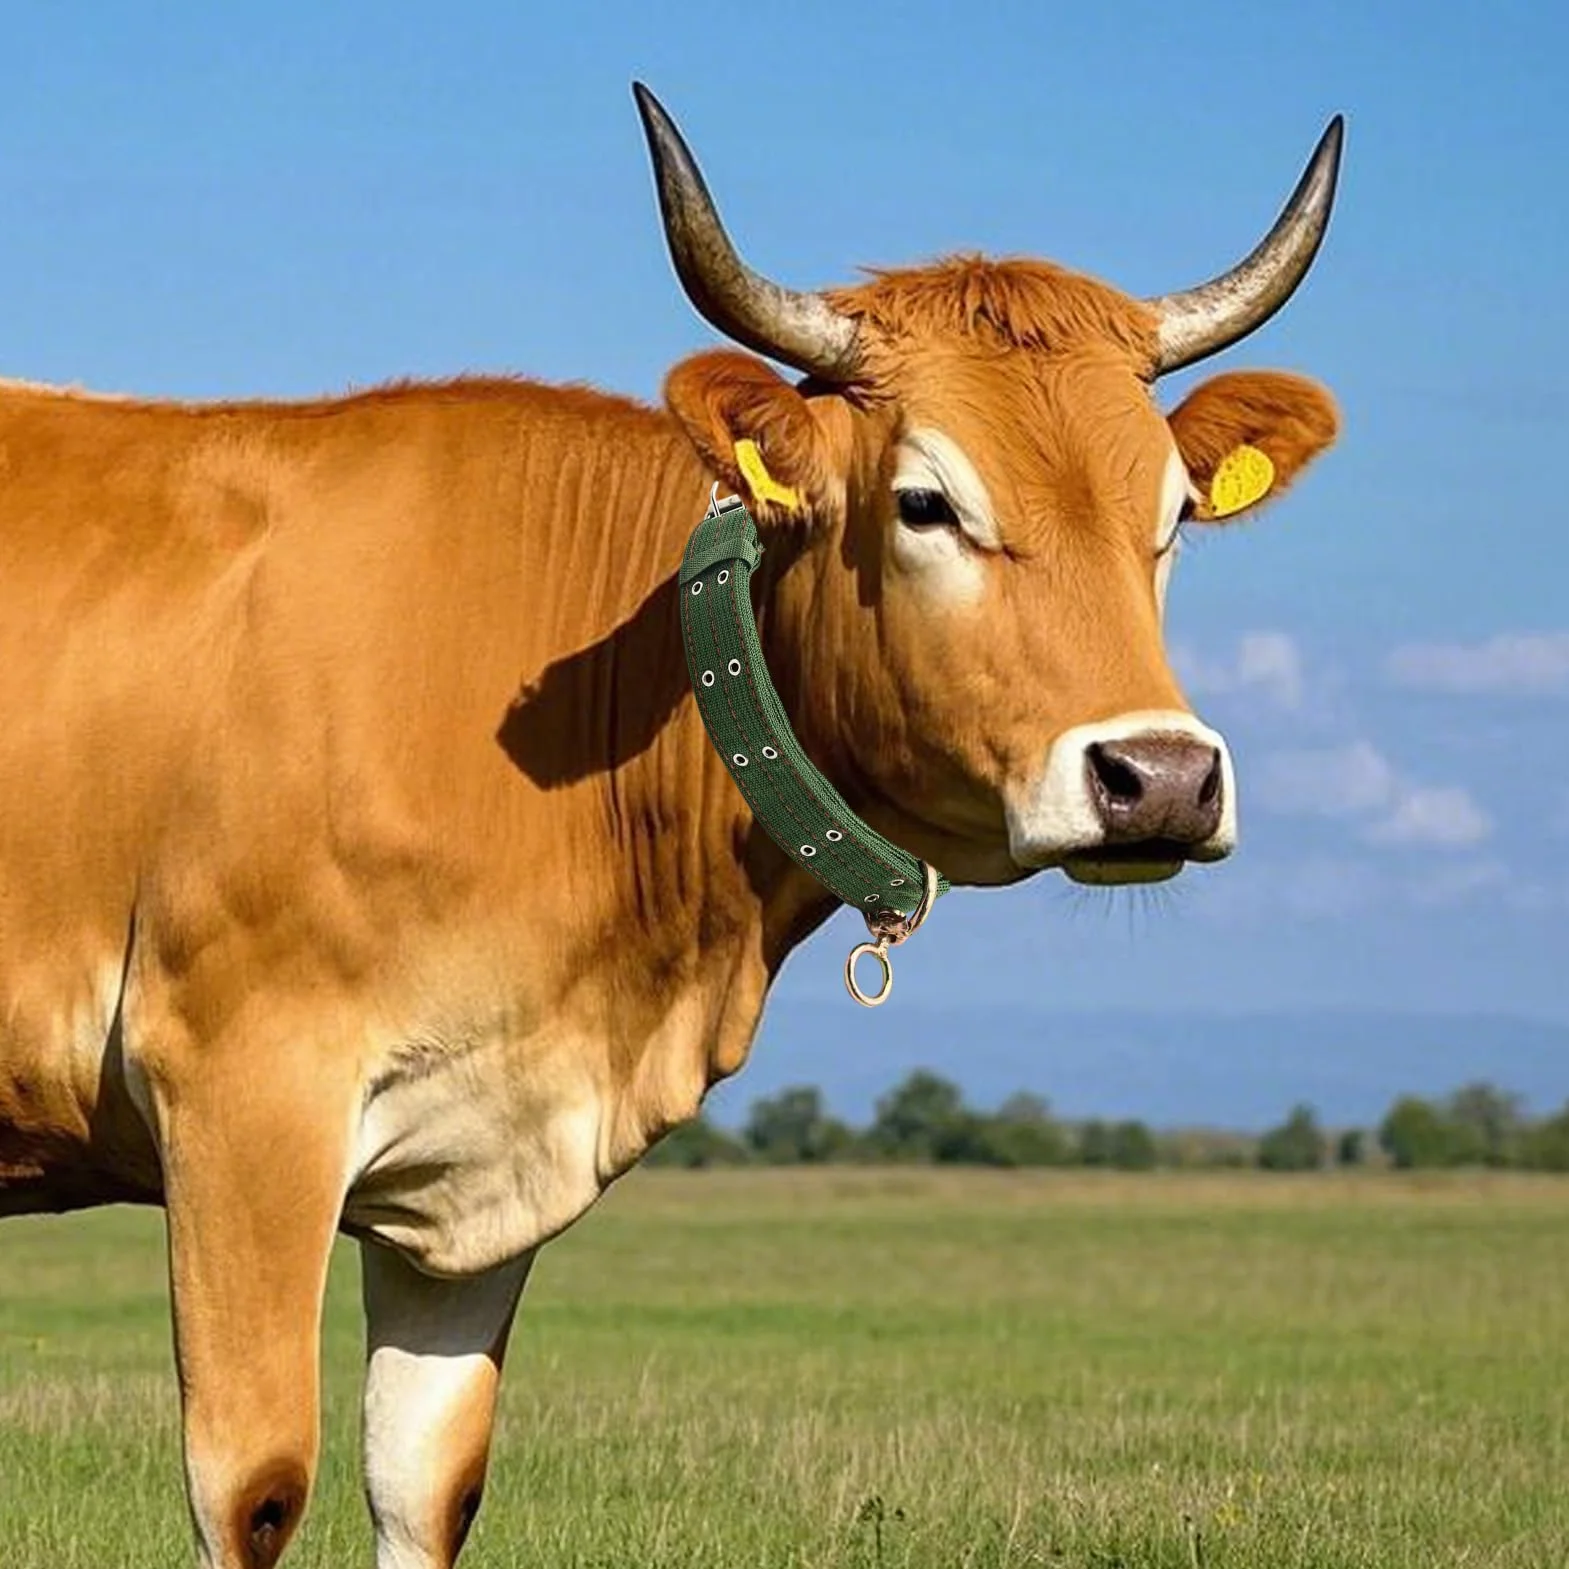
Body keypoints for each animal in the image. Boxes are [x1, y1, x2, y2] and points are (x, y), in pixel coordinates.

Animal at [0, 82, 1342, 1569]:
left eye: (1172, 518)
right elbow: (256, 1488)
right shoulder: (242, 1089)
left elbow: (425, 1482)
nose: (1156, 776)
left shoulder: (471, 1167)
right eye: (926, 502)